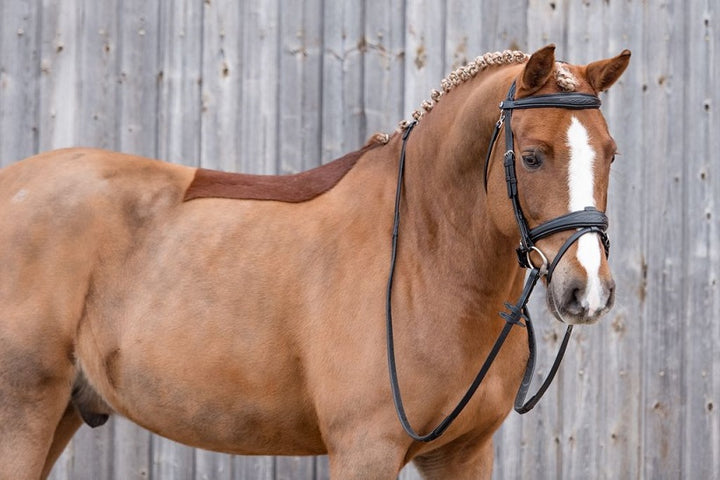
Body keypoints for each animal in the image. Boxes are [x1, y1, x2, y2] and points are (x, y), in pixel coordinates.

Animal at [0, 44, 629, 479]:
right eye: (532, 157)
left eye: (611, 153)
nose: (587, 290)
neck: (422, 256)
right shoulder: (365, 449)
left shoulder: (463, 454)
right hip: (24, 413)